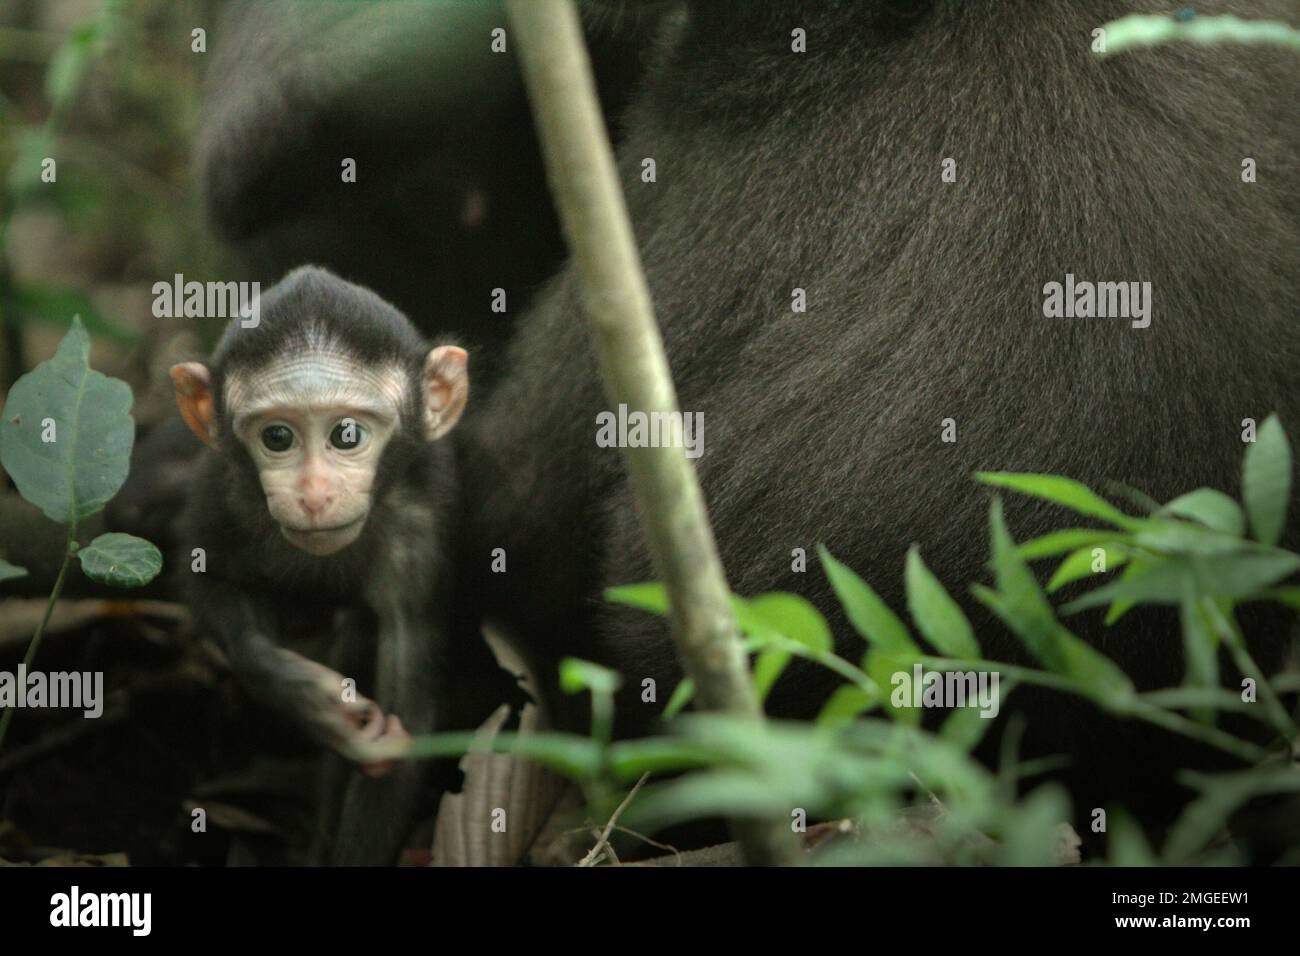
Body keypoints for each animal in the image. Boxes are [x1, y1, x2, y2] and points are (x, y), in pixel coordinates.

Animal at [169, 265, 509, 865]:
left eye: (346, 435)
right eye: (277, 437)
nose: (314, 494)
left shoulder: (419, 530)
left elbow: (410, 705)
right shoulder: (223, 491)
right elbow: (209, 582)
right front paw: (316, 703)